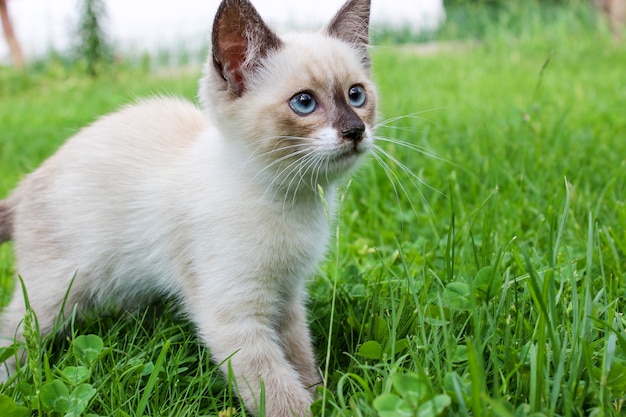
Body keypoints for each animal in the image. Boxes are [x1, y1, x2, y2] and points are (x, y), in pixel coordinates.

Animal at [0, 0, 376, 412]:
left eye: (357, 95)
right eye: (304, 103)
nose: (356, 131)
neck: (292, 199)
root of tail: (27, 181)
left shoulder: (287, 296)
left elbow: (301, 358)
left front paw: (325, 398)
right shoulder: (234, 314)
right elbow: (278, 391)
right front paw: (313, 408)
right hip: (55, 292)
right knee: (15, 331)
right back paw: (8, 382)